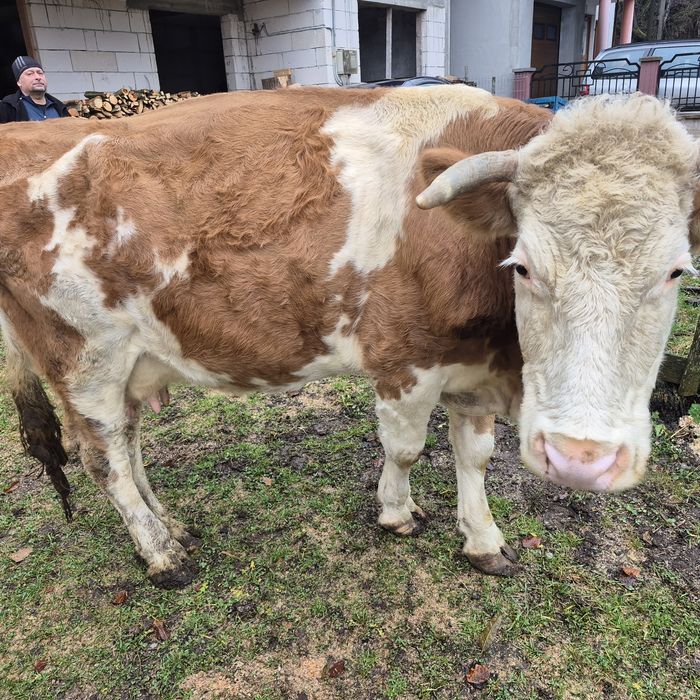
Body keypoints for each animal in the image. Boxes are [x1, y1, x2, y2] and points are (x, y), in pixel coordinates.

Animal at [0, 86, 697, 588]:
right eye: (522, 265)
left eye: (676, 270)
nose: (582, 457)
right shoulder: (405, 360)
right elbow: (407, 448)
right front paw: (397, 513)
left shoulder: (469, 365)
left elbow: (474, 457)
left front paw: (483, 541)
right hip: (84, 357)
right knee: (104, 458)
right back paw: (162, 556)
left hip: (130, 360)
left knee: (129, 441)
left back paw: (171, 527)